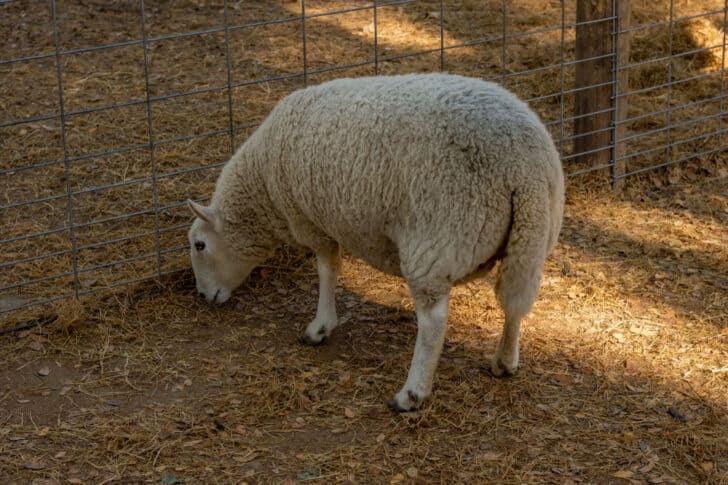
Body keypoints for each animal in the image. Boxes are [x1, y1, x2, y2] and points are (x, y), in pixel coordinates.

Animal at [186, 72, 565, 412]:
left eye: (199, 245)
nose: (203, 296)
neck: (263, 186)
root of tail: (523, 165)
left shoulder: (311, 220)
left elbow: (327, 269)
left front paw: (319, 327)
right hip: (531, 238)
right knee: (515, 303)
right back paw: (505, 360)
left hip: (438, 236)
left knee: (434, 320)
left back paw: (411, 393)